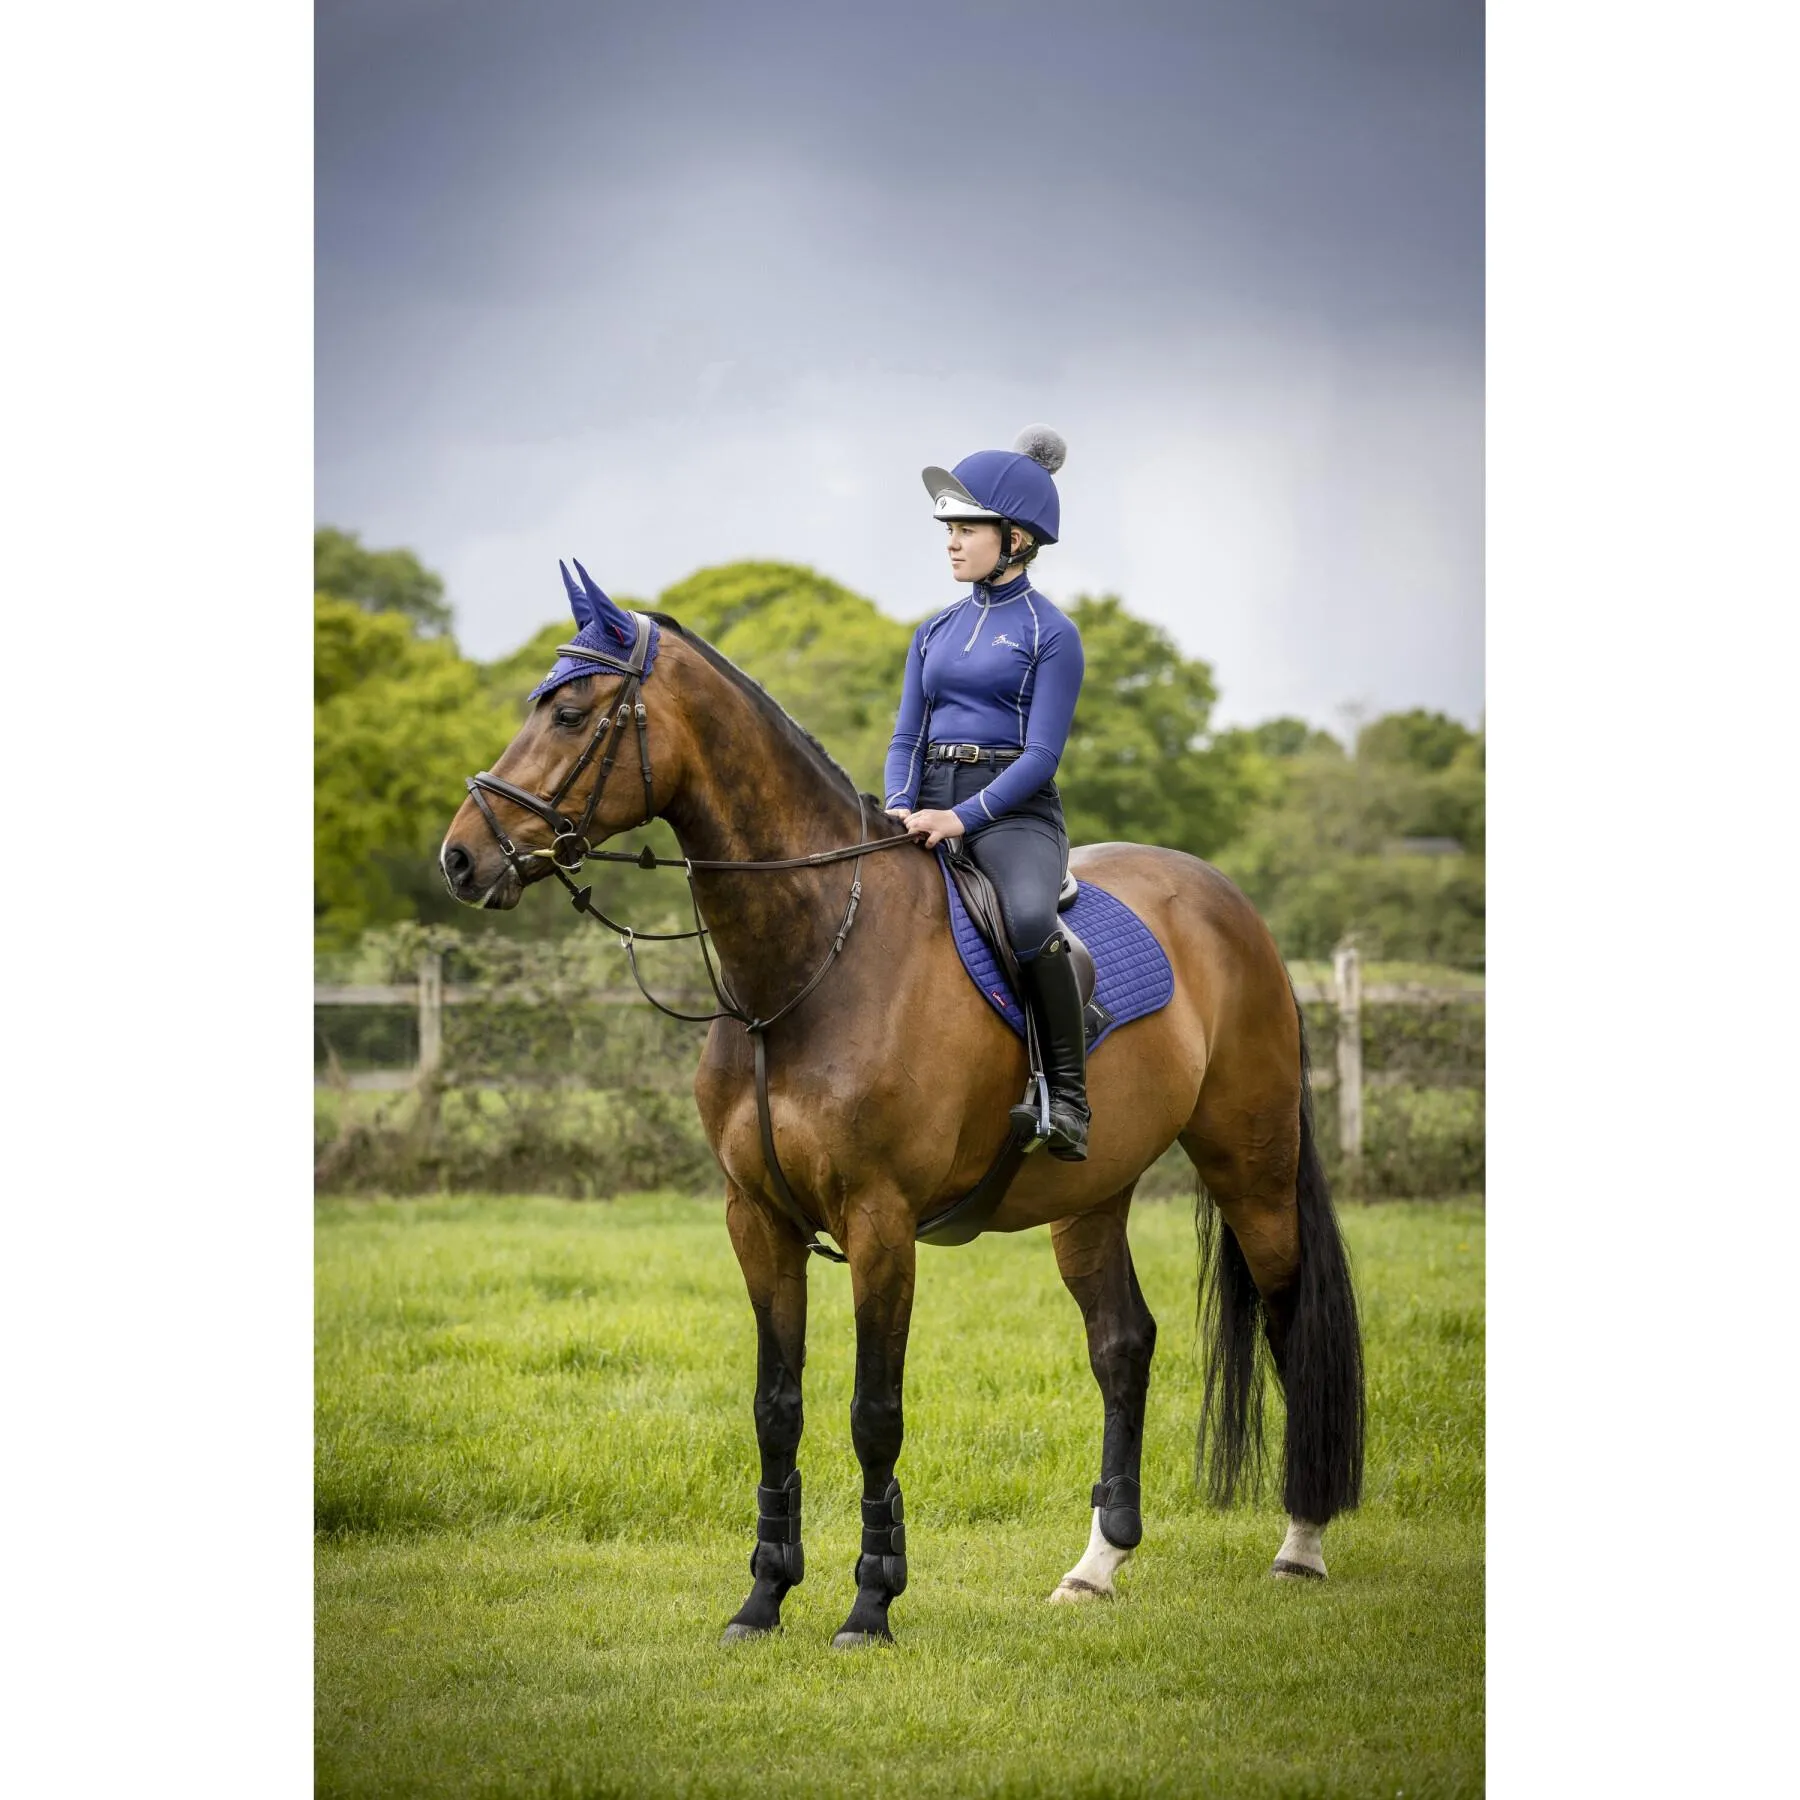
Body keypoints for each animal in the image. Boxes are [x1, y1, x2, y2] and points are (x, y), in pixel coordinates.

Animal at [439, 586, 1360, 1648]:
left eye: (571, 714)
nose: (459, 857)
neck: (808, 963)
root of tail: (1229, 905)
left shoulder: (879, 1223)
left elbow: (874, 1411)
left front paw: (870, 1604)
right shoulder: (757, 1221)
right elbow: (776, 1407)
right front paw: (763, 1597)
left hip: (1252, 1168)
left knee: (1291, 1330)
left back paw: (1301, 1545)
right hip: (1091, 1196)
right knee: (1122, 1346)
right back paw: (1096, 1567)